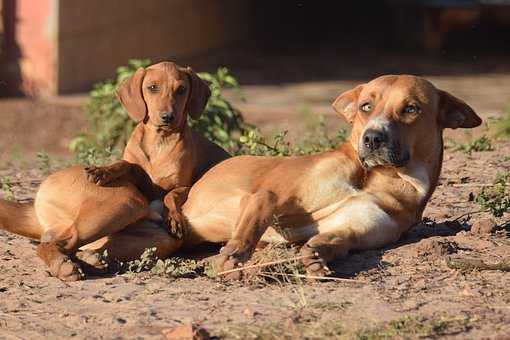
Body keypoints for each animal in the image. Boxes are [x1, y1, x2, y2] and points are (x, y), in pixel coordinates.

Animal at [0, 61, 229, 282]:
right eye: (152, 87)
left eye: (181, 89)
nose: (167, 117)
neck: (159, 141)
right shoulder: (142, 182)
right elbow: (126, 165)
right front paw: (102, 171)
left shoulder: (182, 186)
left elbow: (171, 195)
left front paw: (173, 216)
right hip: (127, 203)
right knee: (59, 242)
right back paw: (66, 264)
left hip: (151, 231)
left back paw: (85, 261)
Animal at [173, 73, 480, 276]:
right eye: (366, 106)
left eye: (410, 109)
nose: (372, 138)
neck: (379, 178)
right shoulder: (270, 193)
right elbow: (257, 217)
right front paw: (235, 254)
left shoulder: (355, 229)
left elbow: (334, 241)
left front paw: (317, 255)